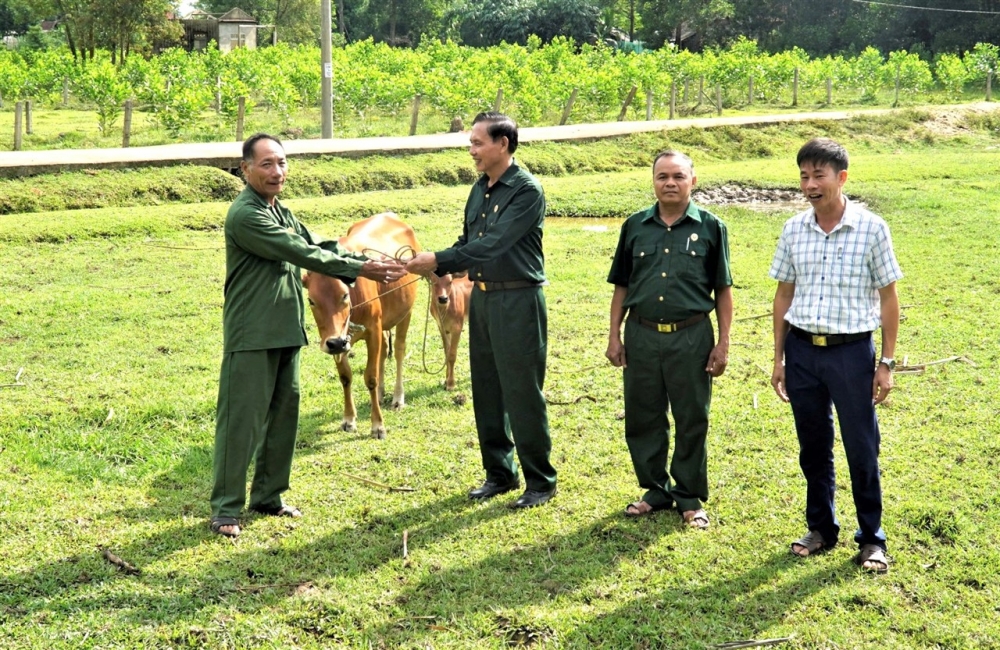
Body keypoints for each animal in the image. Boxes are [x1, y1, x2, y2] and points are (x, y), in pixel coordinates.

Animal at [300, 213, 418, 440]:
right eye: (311, 300)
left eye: (344, 295)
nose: (336, 342)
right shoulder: (337, 341)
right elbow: (346, 377)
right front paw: (349, 419)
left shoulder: (372, 330)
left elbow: (370, 377)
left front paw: (378, 425)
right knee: (385, 349)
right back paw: (380, 394)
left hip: (405, 313)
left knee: (399, 350)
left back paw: (398, 398)